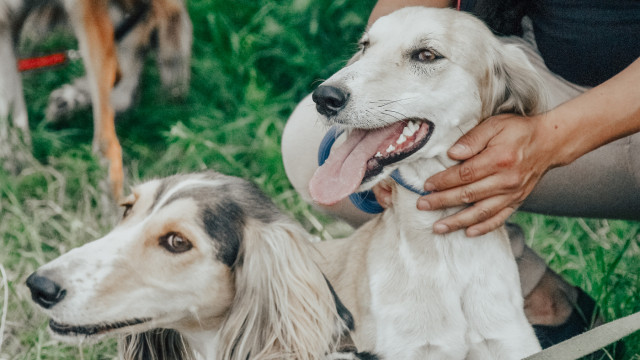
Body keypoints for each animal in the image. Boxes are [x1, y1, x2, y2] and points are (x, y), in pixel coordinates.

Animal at [0, 0, 191, 198]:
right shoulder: (6, 20)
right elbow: (13, 118)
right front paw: (20, 171)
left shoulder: (87, 10)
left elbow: (105, 139)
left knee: (156, 17)